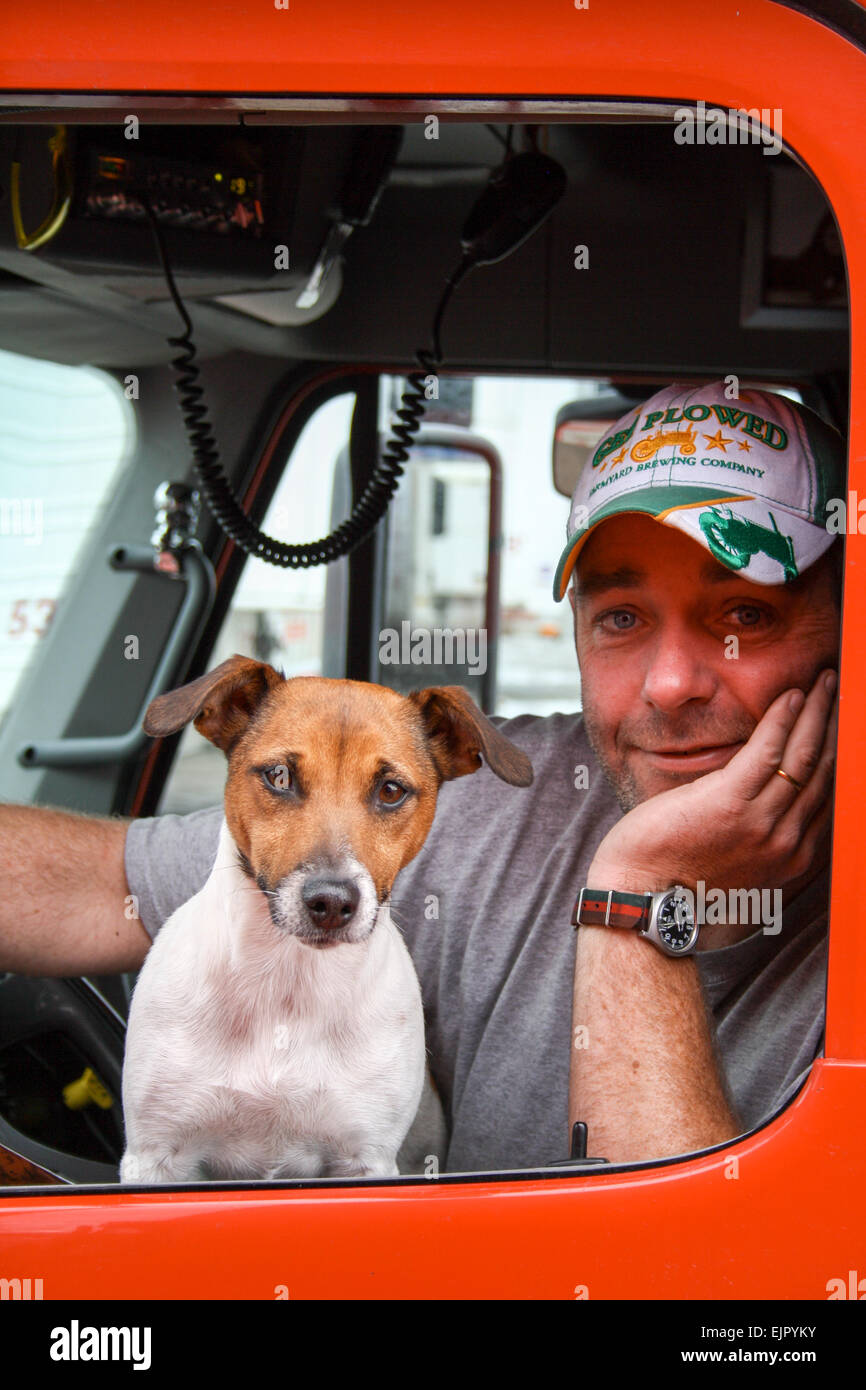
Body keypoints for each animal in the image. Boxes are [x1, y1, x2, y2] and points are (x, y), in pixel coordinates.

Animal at [118, 656, 530, 1178]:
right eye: (279, 776)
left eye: (391, 790)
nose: (332, 903)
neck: (287, 981)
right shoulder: (155, 1158)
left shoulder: (366, 1160)